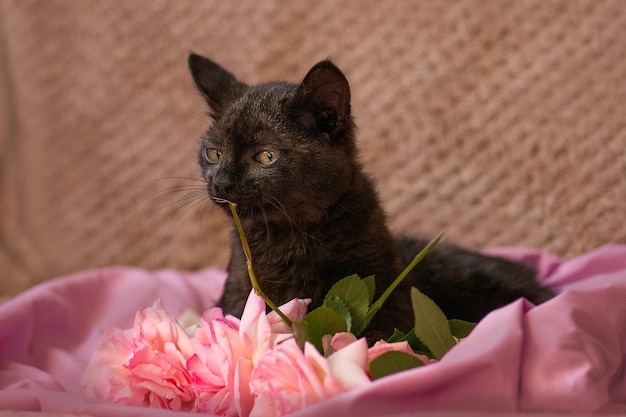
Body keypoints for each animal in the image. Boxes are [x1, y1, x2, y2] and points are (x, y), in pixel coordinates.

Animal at [185, 53, 552, 340]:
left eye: (265, 157)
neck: (289, 238)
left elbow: (379, 335)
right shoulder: (237, 298)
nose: (221, 183)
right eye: (214, 153)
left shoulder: (390, 297)